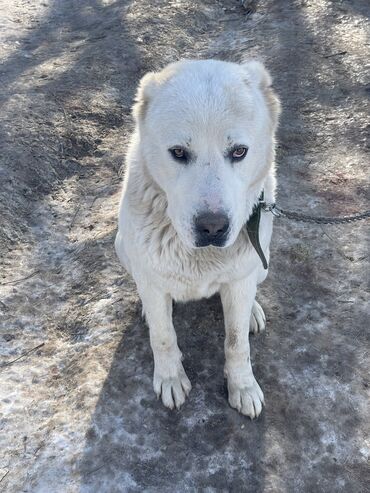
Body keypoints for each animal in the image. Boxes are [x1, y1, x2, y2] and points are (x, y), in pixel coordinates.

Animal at [115, 59, 280, 418]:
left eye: (239, 151)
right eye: (178, 152)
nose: (213, 228)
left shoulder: (241, 278)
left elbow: (236, 342)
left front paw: (242, 386)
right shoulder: (151, 278)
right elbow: (163, 337)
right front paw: (170, 378)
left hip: (262, 262)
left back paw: (253, 311)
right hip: (123, 249)